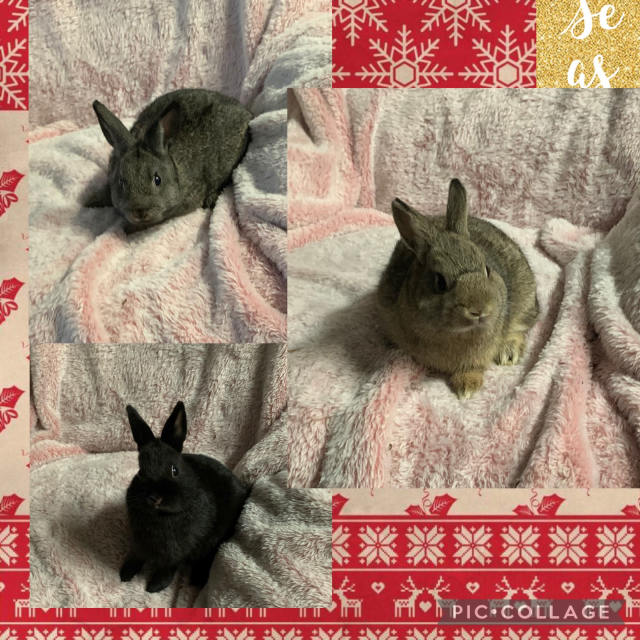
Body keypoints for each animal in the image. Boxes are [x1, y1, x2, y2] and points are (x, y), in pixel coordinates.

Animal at [88, 88, 252, 232]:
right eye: (121, 182)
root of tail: (247, 113)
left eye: (157, 179)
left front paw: (129, 229)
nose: (140, 212)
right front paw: (91, 201)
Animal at [120, 401, 249, 593]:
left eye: (175, 470)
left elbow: (169, 567)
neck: (161, 516)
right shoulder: (139, 542)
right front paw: (125, 573)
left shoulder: (179, 550)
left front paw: (155, 586)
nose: (155, 498)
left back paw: (197, 579)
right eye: (141, 472)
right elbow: (136, 555)